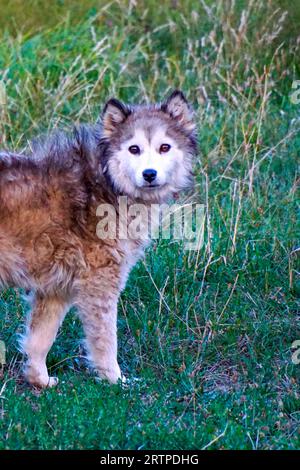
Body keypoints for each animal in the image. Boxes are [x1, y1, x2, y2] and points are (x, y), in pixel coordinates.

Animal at [0, 90, 197, 388]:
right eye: (134, 149)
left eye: (165, 147)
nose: (149, 174)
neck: (106, 185)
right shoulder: (100, 284)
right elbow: (106, 341)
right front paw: (116, 381)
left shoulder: (56, 289)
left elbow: (40, 340)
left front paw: (40, 381)